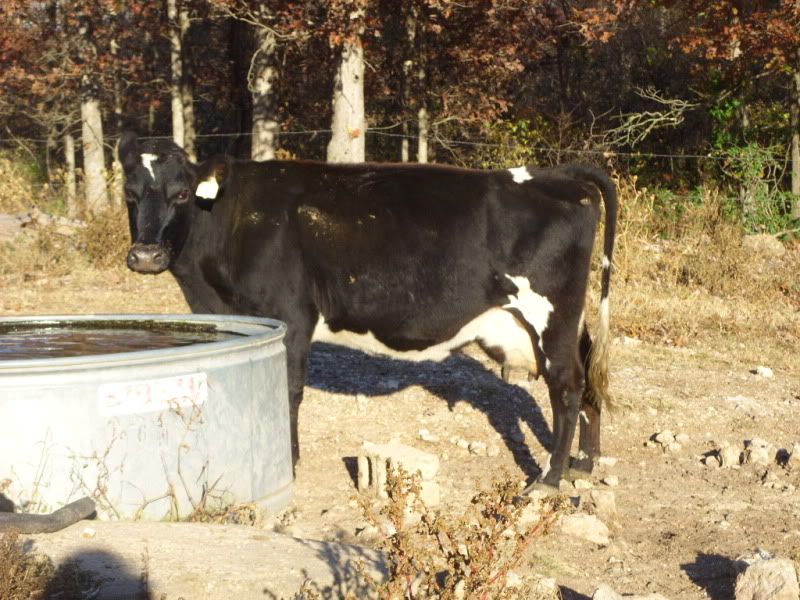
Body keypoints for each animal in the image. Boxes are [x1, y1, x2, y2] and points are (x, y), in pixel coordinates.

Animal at [117, 131, 617, 492]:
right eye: (129, 194)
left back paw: (549, 478)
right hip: (563, 321)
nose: (145, 256)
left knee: (567, 385)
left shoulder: (291, 316)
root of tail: (557, 174)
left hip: (550, 314)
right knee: (588, 373)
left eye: (182, 194)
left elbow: (287, 390)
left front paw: (289, 461)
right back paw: (584, 462)